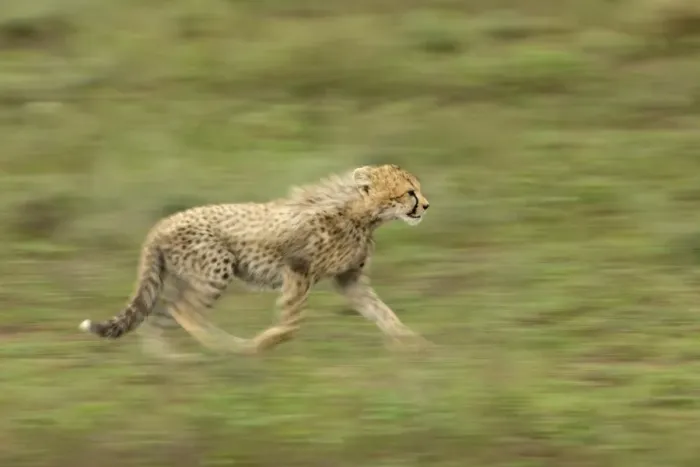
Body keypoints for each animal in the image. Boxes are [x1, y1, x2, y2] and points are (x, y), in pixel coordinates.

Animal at [78, 164, 432, 359]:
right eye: (409, 192)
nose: (426, 206)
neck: (361, 214)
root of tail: (161, 223)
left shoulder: (350, 281)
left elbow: (383, 312)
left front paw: (414, 343)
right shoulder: (298, 271)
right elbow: (290, 324)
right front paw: (260, 346)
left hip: (178, 278)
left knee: (159, 315)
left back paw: (171, 360)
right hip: (216, 266)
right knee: (185, 310)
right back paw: (229, 347)